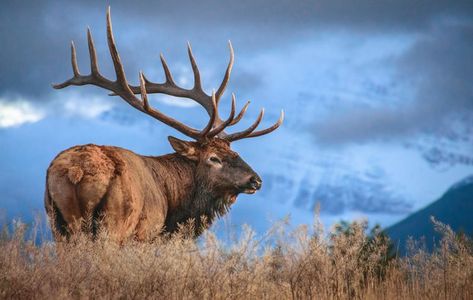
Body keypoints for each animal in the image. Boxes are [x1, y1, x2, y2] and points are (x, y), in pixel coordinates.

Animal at [44, 8, 282, 243]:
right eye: (214, 158)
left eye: (235, 153)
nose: (256, 180)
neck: (174, 207)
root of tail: (76, 171)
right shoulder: (145, 232)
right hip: (114, 223)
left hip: (57, 223)